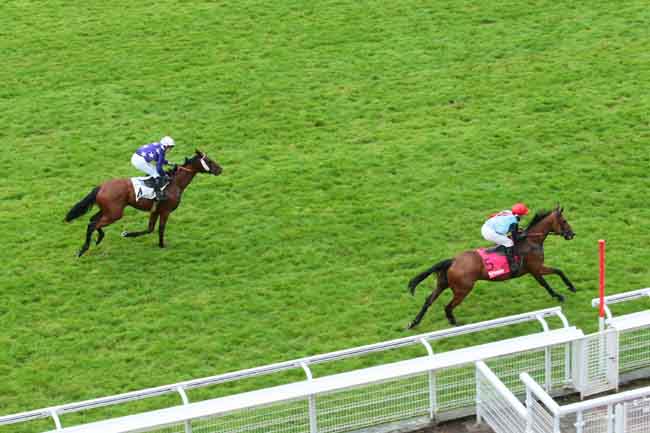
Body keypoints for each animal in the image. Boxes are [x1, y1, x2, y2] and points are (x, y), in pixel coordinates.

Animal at [65, 149, 221, 256]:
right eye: (209, 161)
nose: (220, 169)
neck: (174, 183)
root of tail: (101, 187)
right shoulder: (165, 211)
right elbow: (160, 229)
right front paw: (162, 245)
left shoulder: (155, 210)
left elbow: (150, 229)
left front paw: (127, 234)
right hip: (115, 213)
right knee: (93, 224)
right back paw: (84, 248)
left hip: (107, 210)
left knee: (92, 220)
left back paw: (98, 239)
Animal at [408, 208, 576, 326]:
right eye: (564, 221)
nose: (572, 234)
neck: (531, 241)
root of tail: (453, 260)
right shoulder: (535, 268)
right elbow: (547, 282)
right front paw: (560, 295)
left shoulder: (536, 268)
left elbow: (558, 272)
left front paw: (570, 288)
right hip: (463, 289)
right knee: (448, 306)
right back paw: (454, 322)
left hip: (443, 284)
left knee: (429, 300)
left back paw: (414, 323)